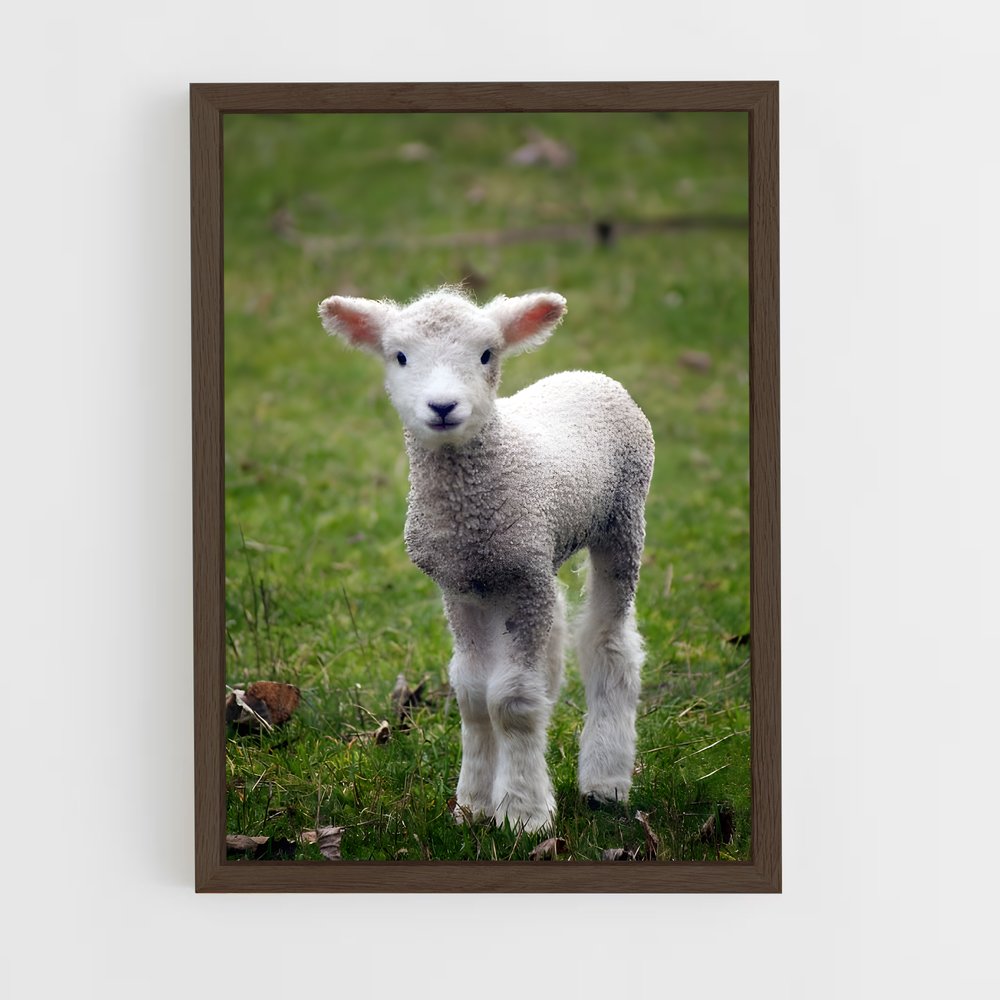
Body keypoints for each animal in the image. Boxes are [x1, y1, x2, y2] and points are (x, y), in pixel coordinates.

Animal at [318, 286, 654, 833]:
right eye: (400, 356)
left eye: (485, 354)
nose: (442, 406)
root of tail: (589, 375)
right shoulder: (461, 586)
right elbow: (475, 696)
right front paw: (473, 804)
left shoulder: (522, 581)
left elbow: (512, 702)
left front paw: (522, 813)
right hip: (537, 555)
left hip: (622, 518)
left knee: (609, 642)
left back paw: (605, 782)